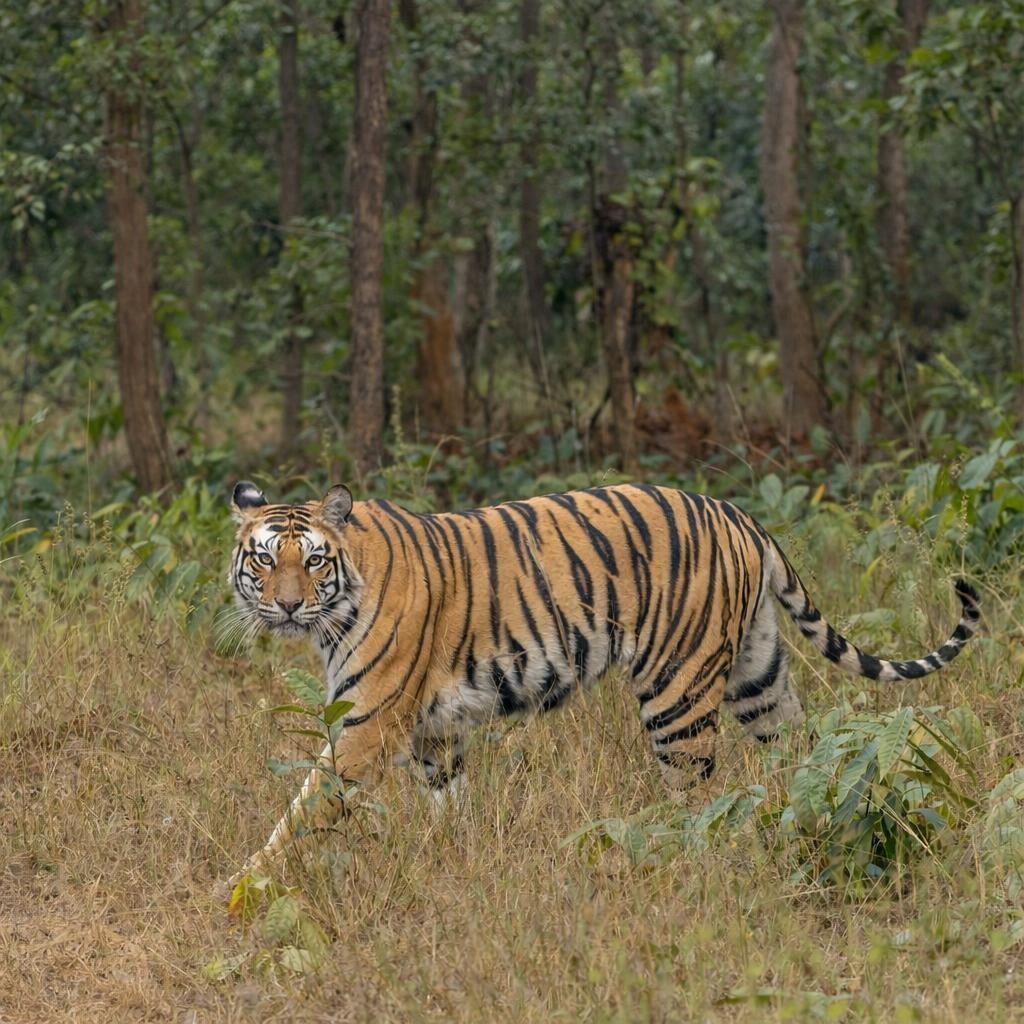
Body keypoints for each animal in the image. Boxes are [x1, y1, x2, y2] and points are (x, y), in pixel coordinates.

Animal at [227, 480, 981, 880]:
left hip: (679, 693)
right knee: (802, 757)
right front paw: (456, 858)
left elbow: (298, 816)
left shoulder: (366, 725)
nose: (286, 606)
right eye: (264, 559)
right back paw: (806, 823)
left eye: (313, 561)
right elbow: (449, 804)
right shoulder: (435, 732)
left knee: (694, 797)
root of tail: (739, 514)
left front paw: (239, 892)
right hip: (759, 676)